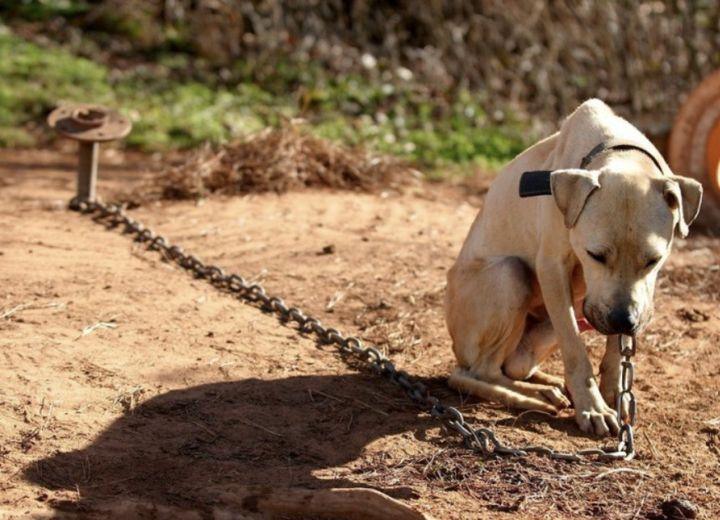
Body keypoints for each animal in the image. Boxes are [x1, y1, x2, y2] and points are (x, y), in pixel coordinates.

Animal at [444, 100, 704, 434]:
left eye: (653, 260)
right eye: (595, 255)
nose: (624, 320)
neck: (618, 149)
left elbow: (616, 349)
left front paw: (614, 392)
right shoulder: (553, 269)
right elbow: (576, 349)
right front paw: (593, 408)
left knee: (511, 366)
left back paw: (546, 384)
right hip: (509, 275)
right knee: (477, 372)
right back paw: (534, 396)